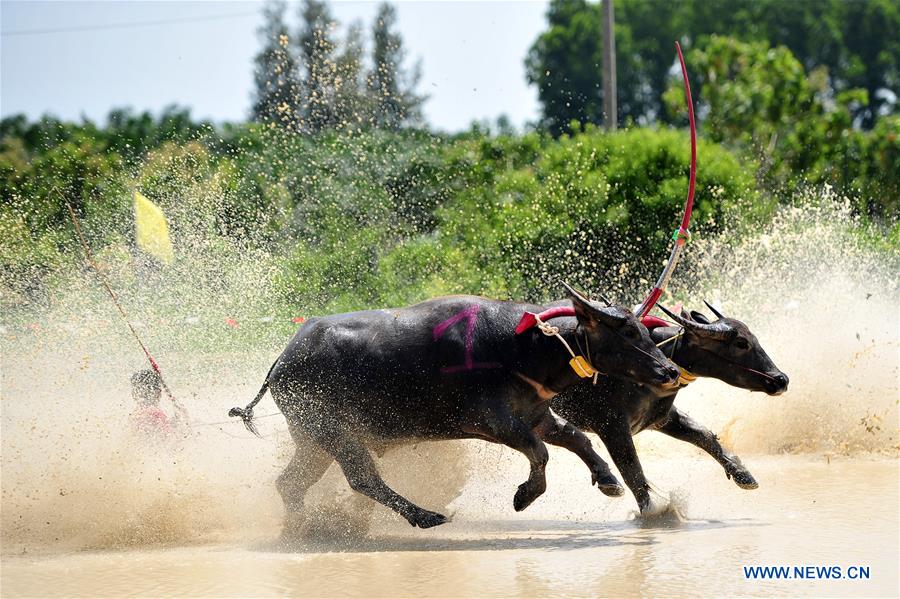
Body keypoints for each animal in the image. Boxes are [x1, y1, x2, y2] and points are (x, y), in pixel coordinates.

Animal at [232, 286, 676, 528]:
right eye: (628, 332)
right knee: (362, 479)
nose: (669, 369)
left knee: (290, 483)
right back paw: (427, 517)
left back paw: (304, 527)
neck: (522, 346)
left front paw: (608, 479)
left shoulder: (537, 415)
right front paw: (525, 495)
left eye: (644, 329)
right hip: (335, 434)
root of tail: (280, 363)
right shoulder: (496, 422)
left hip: (313, 441)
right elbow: (540, 452)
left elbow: (577, 439)